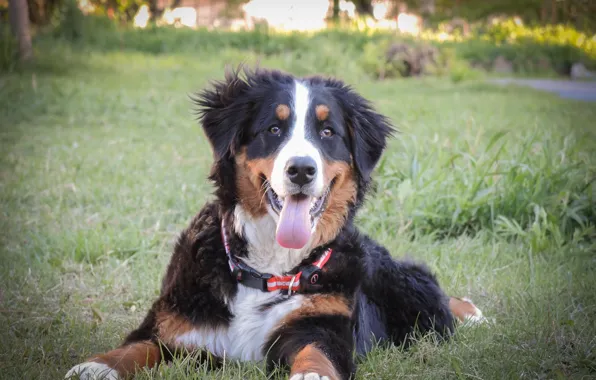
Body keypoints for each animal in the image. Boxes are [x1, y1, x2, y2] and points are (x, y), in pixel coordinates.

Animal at [65, 68, 484, 380]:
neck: (267, 270)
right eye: (273, 129)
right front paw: (96, 366)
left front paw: (313, 375)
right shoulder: (175, 323)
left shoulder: (320, 326)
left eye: (327, 132)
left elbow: (317, 353)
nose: (301, 169)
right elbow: (135, 346)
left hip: (414, 302)